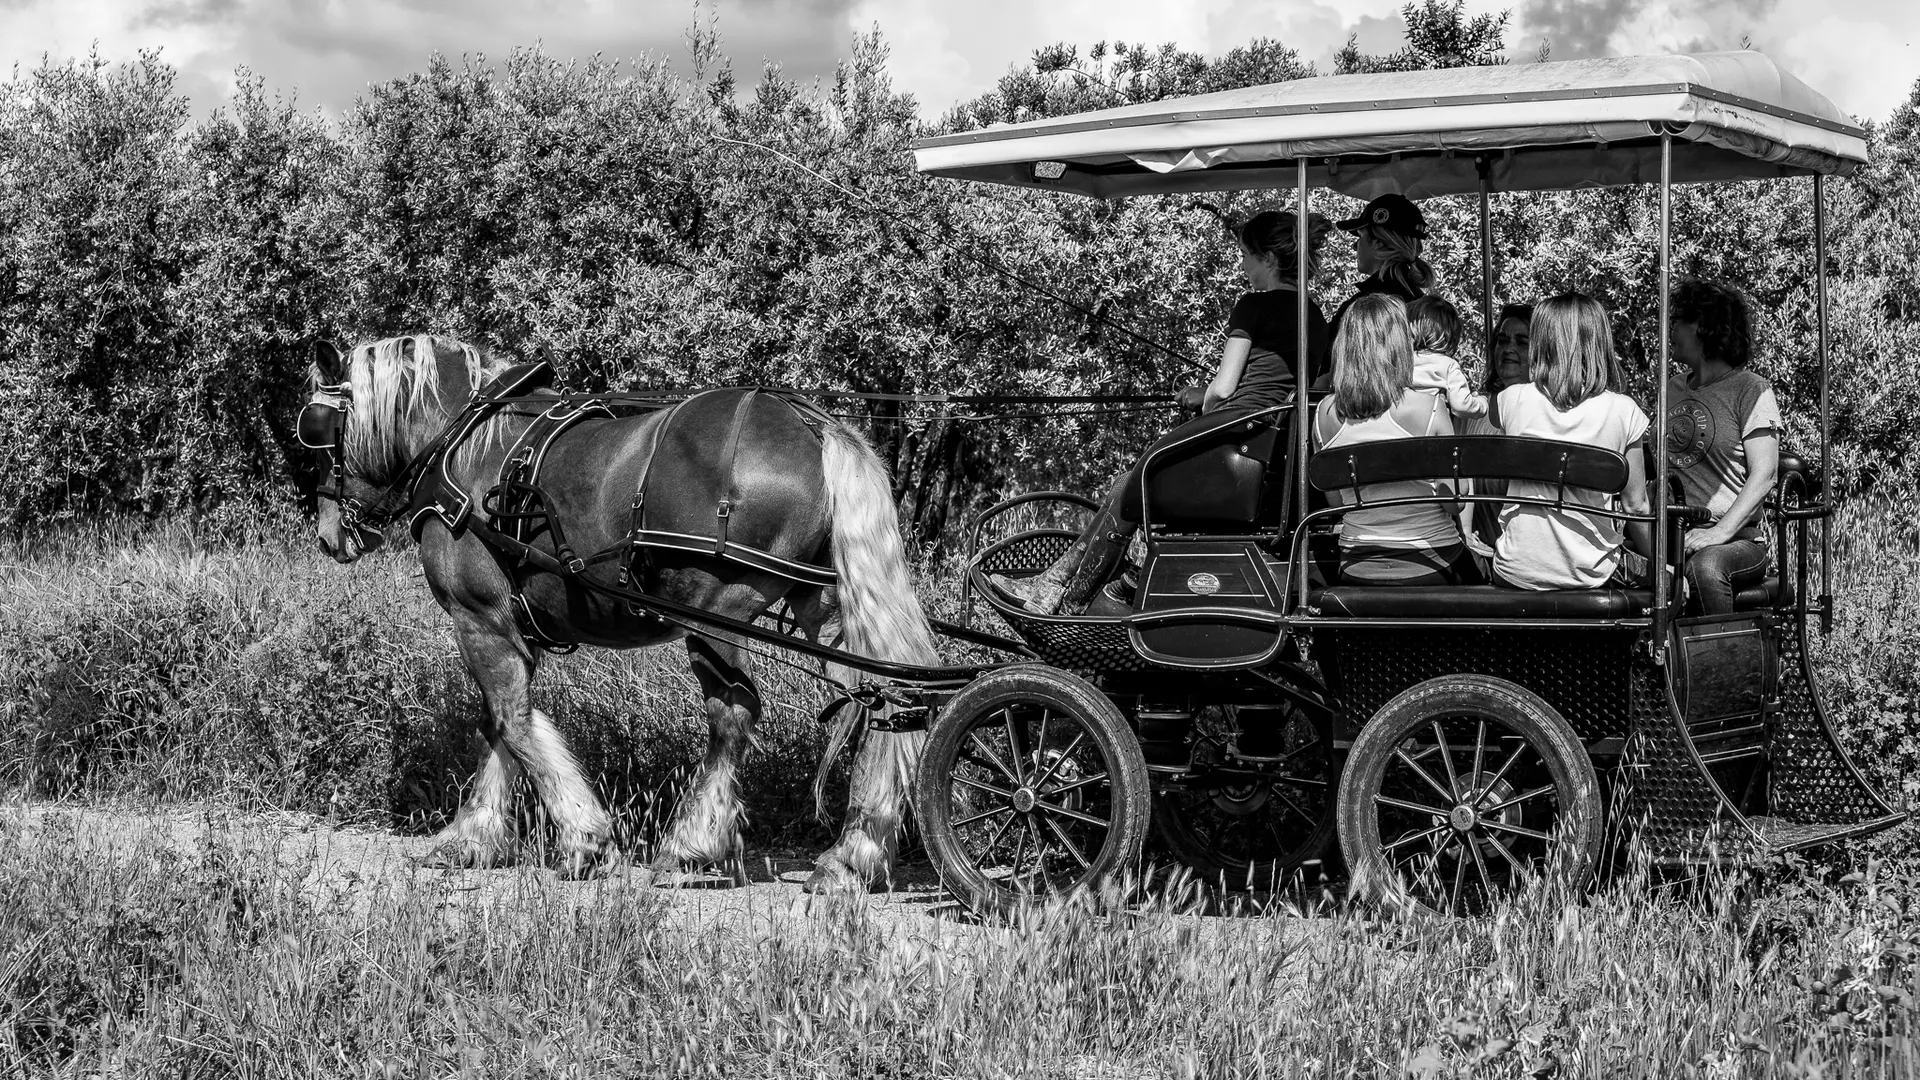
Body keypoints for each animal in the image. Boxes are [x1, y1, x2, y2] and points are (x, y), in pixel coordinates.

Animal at [303, 332, 940, 887]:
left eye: (316, 430)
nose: (329, 534)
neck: (462, 441)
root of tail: (813, 425)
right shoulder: (512, 631)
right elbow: (501, 728)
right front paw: (472, 837)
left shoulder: (478, 617)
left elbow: (511, 721)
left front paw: (584, 840)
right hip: (823, 610)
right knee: (880, 705)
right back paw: (852, 854)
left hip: (714, 611)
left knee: (733, 716)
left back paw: (693, 845)